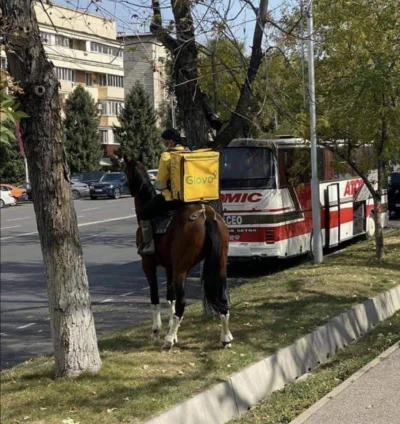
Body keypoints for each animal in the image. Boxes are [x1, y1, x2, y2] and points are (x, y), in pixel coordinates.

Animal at [125, 161, 231, 350]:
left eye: (125, 171)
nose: (122, 186)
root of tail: (206, 215)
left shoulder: (148, 265)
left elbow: (155, 297)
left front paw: (157, 331)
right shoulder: (169, 267)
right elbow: (170, 298)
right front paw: (171, 331)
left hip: (182, 268)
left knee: (182, 302)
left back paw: (167, 342)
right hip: (219, 264)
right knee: (222, 298)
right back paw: (225, 337)